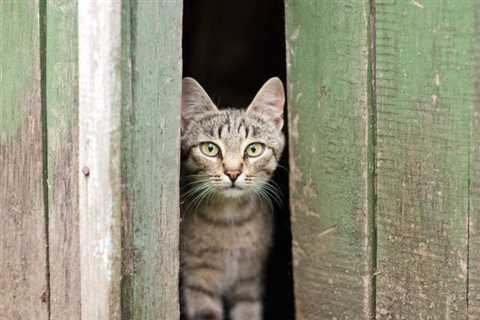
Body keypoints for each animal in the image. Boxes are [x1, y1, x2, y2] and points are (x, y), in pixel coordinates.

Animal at [180, 77, 284, 320]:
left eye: (254, 149)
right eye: (210, 148)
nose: (233, 172)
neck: (230, 220)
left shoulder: (249, 279)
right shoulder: (197, 280)